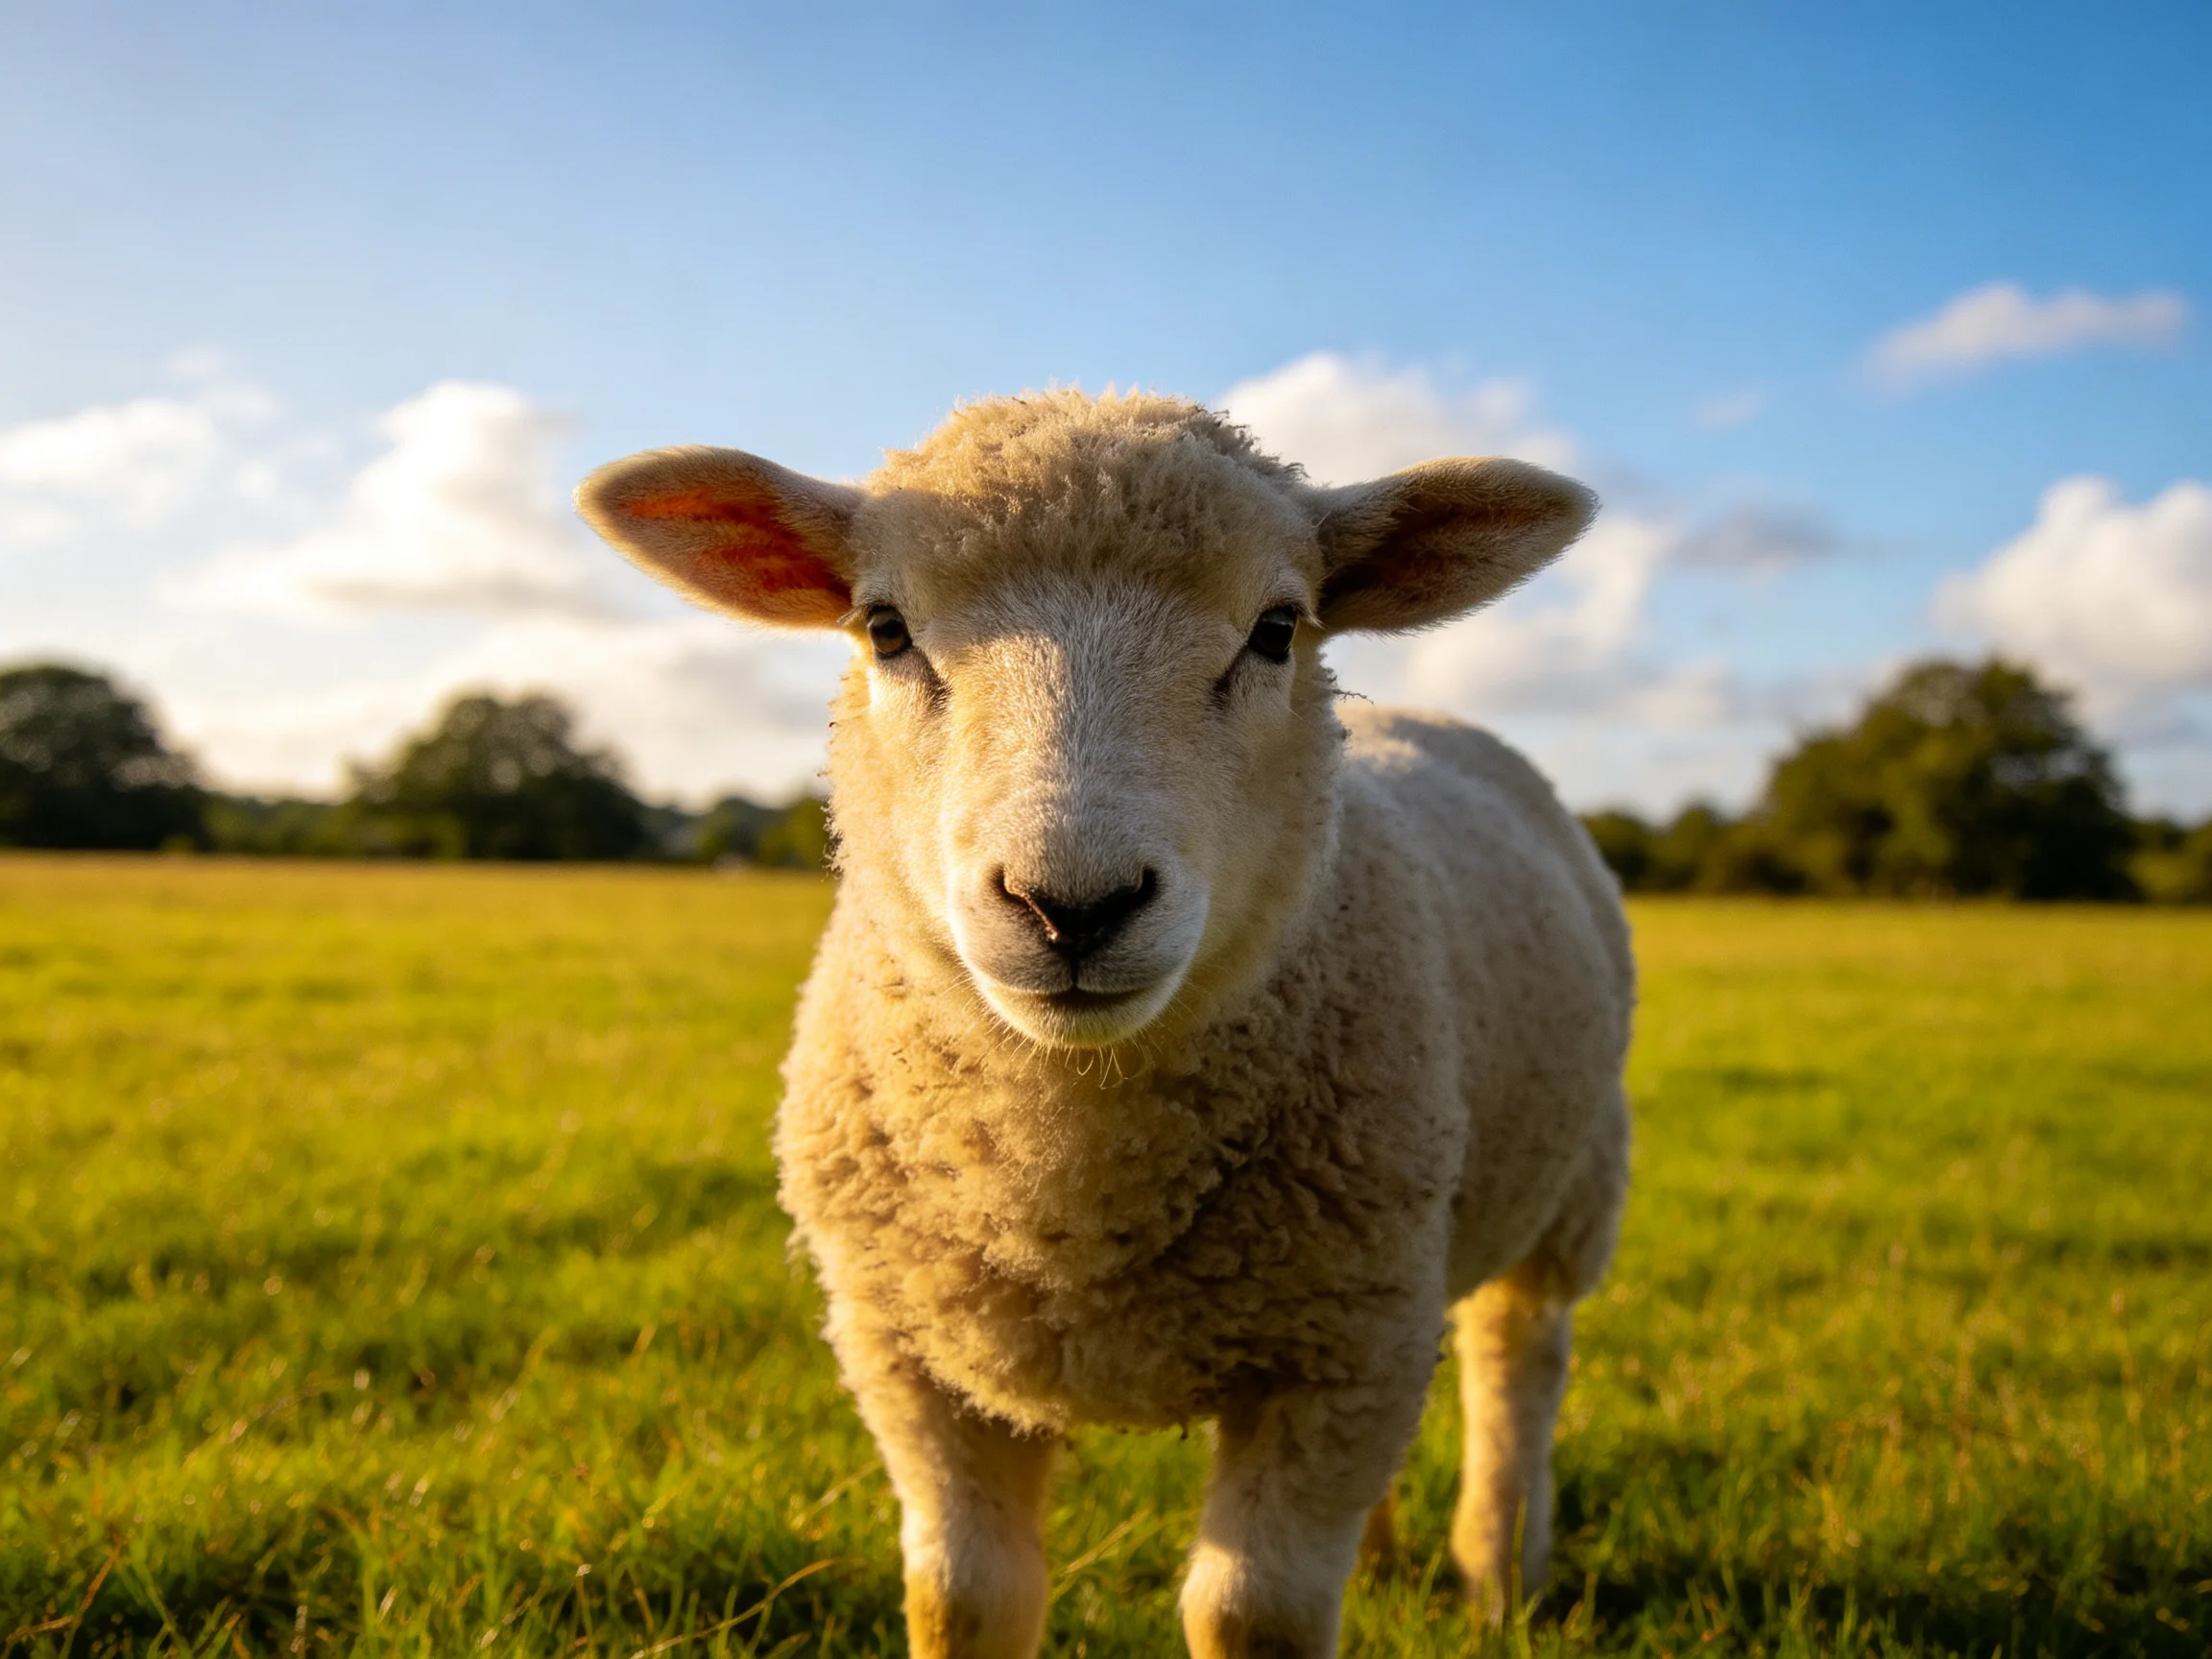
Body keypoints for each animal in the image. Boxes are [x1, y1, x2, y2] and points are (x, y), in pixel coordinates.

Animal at [577, 390, 1633, 1659]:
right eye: (884, 628)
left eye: (1277, 628)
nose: (1072, 906)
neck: (1071, 1177)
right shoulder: (910, 1355)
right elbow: (963, 1598)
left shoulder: (1343, 1348)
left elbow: (1252, 1616)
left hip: (1572, 1187)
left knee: (1518, 1355)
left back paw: (1500, 1572)